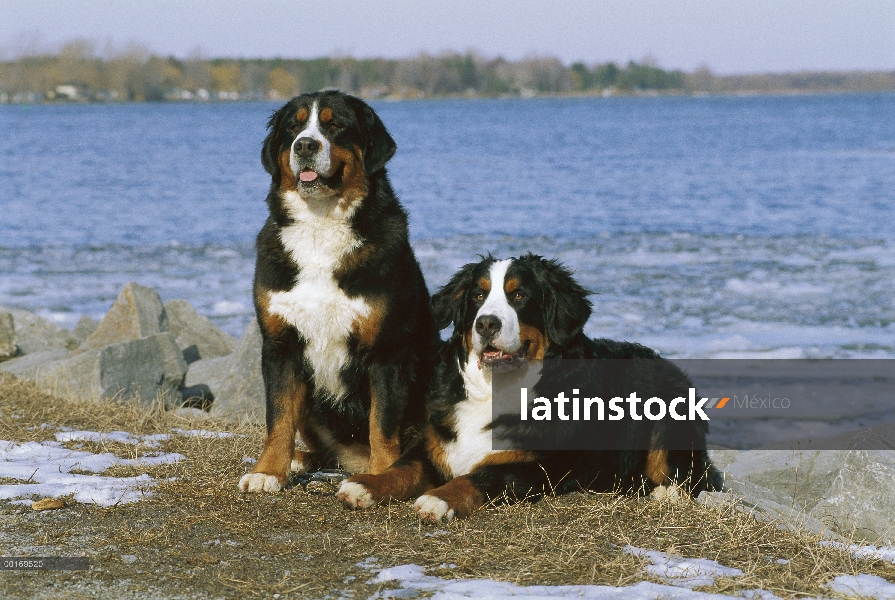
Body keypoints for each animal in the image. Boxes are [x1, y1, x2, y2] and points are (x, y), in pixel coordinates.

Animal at [238, 89, 434, 492]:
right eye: (293, 127)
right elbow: (278, 417)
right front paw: (267, 472)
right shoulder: (280, 345)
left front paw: (380, 477)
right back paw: (298, 461)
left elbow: (382, 425)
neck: (320, 226)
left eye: (335, 126)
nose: (305, 145)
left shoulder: (387, 350)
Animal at [334, 253, 720, 520]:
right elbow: (401, 468)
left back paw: (667, 493)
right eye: (477, 296)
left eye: (518, 296)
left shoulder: (531, 467)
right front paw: (364, 484)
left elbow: (480, 477)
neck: (496, 389)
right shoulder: (434, 445)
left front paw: (439, 499)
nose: (486, 323)